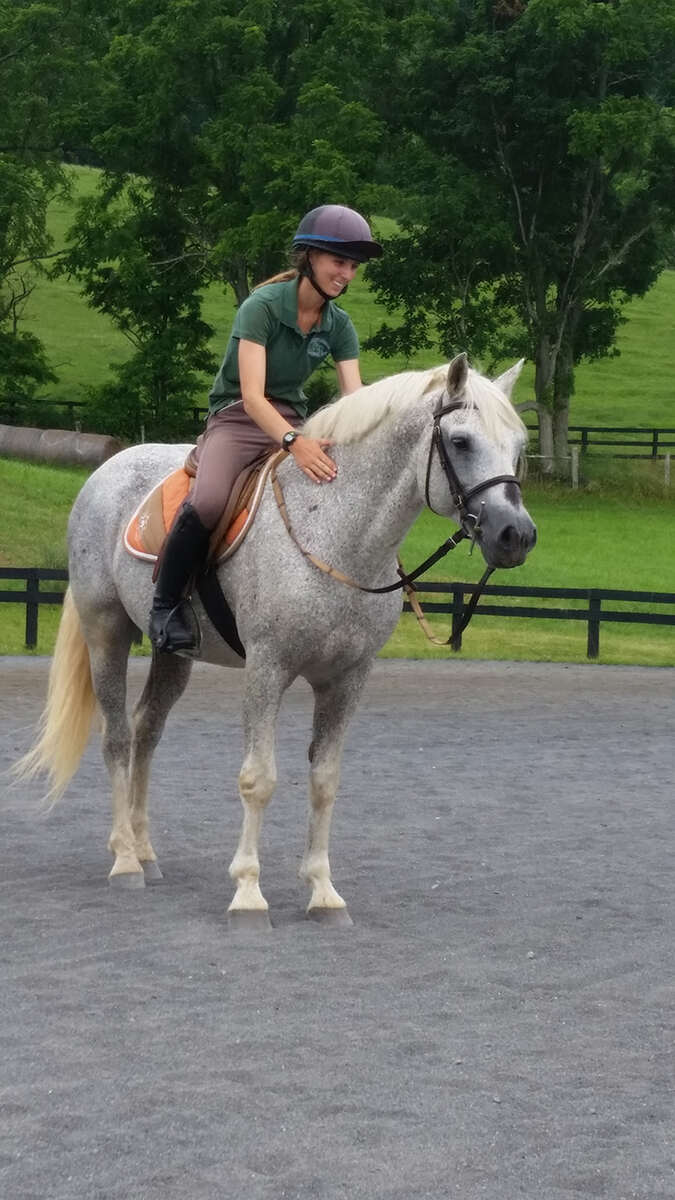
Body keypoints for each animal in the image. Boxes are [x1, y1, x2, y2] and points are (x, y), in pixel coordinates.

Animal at [16, 354, 536, 927]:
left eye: (518, 444)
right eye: (461, 441)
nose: (516, 535)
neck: (336, 531)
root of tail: (107, 469)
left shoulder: (347, 679)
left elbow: (325, 780)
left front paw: (323, 892)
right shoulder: (268, 668)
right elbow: (258, 779)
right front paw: (248, 892)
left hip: (172, 652)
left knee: (146, 732)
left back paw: (146, 851)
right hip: (106, 631)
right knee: (117, 739)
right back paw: (126, 859)